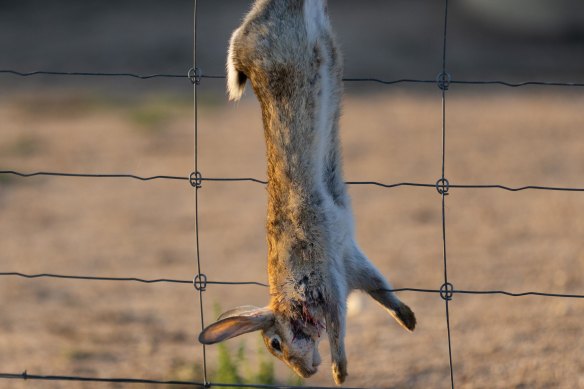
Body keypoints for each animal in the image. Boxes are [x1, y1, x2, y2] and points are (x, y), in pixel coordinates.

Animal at [201, 0, 416, 382]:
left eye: (275, 344)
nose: (306, 373)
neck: (290, 296)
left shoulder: (328, 286)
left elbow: (338, 330)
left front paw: (339, 372)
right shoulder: (351, 261)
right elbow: (381, 290)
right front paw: (408, 321)